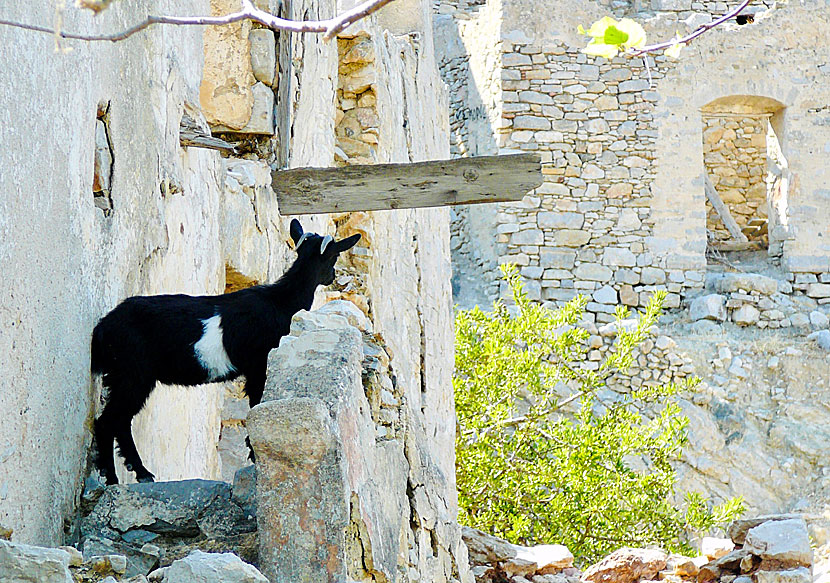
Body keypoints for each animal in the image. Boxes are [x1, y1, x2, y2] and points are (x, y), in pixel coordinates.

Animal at [91, 219, 360, 484]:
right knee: (109, 421)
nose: (332, 276)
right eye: (334, 256)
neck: (281, 301)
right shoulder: (259, 366)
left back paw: (132, 474)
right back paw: (120, 477)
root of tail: (103, 327)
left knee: (119, 421)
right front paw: (254, 455)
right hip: (133, 373)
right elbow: (255, 403)